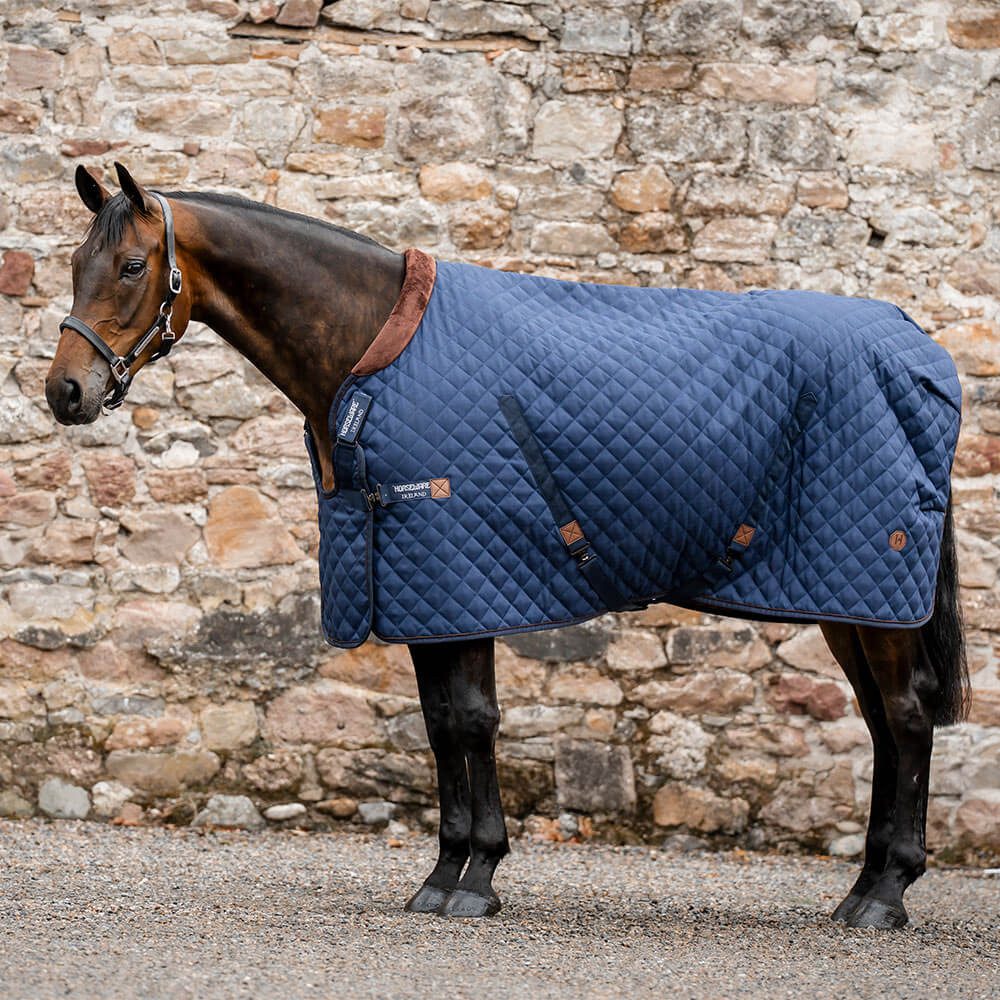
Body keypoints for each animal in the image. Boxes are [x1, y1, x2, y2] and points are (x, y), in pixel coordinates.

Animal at [44, 163, 969, 930]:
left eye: (132, 267)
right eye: (74, 264)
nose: (65, 392)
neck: (374, 345)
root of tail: (919, 350)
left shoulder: (457, 568)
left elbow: (472, 719)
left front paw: (477, 876)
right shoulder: (413, 582)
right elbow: (442, 724)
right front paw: (444, 873)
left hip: (870, 590)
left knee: (907, 716)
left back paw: (884, 896)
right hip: (846, 598)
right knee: (886, 723)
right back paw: (864, 886)